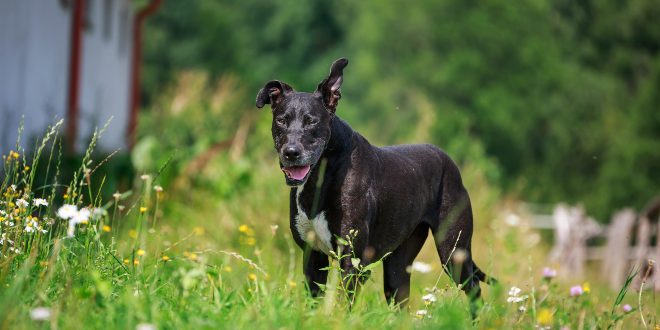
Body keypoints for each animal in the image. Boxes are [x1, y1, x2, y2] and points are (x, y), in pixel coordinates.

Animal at [255, 57, 492, 312]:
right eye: (282, 120)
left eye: (311, 122)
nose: (291, 152)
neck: (321, 177)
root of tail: (449, 161)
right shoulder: (312, 256)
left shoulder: (353, 260)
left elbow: (343, 304)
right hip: (398, 268)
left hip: (454, 251)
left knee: (475, 289)